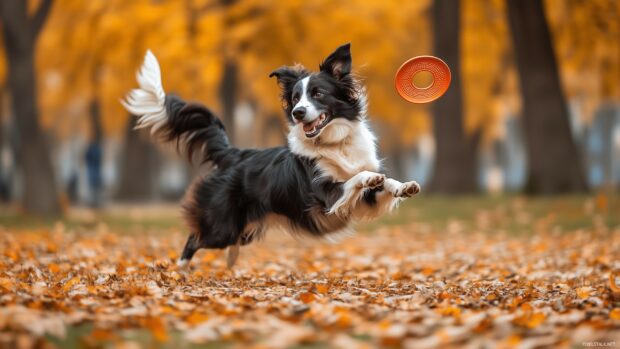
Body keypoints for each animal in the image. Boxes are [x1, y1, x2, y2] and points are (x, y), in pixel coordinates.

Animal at [123, 42, 418, 266]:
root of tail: (235, 154)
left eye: (318, 93)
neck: (335, 143)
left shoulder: (365, 202)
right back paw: (179, 272)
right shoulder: (327, 197)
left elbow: (383, 183)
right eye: (296, 98)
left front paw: (403, 186)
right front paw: (370, 178)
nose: (298, 112)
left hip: (242, 229)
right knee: (194, 238)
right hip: (221, 226)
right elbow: (356, 179)